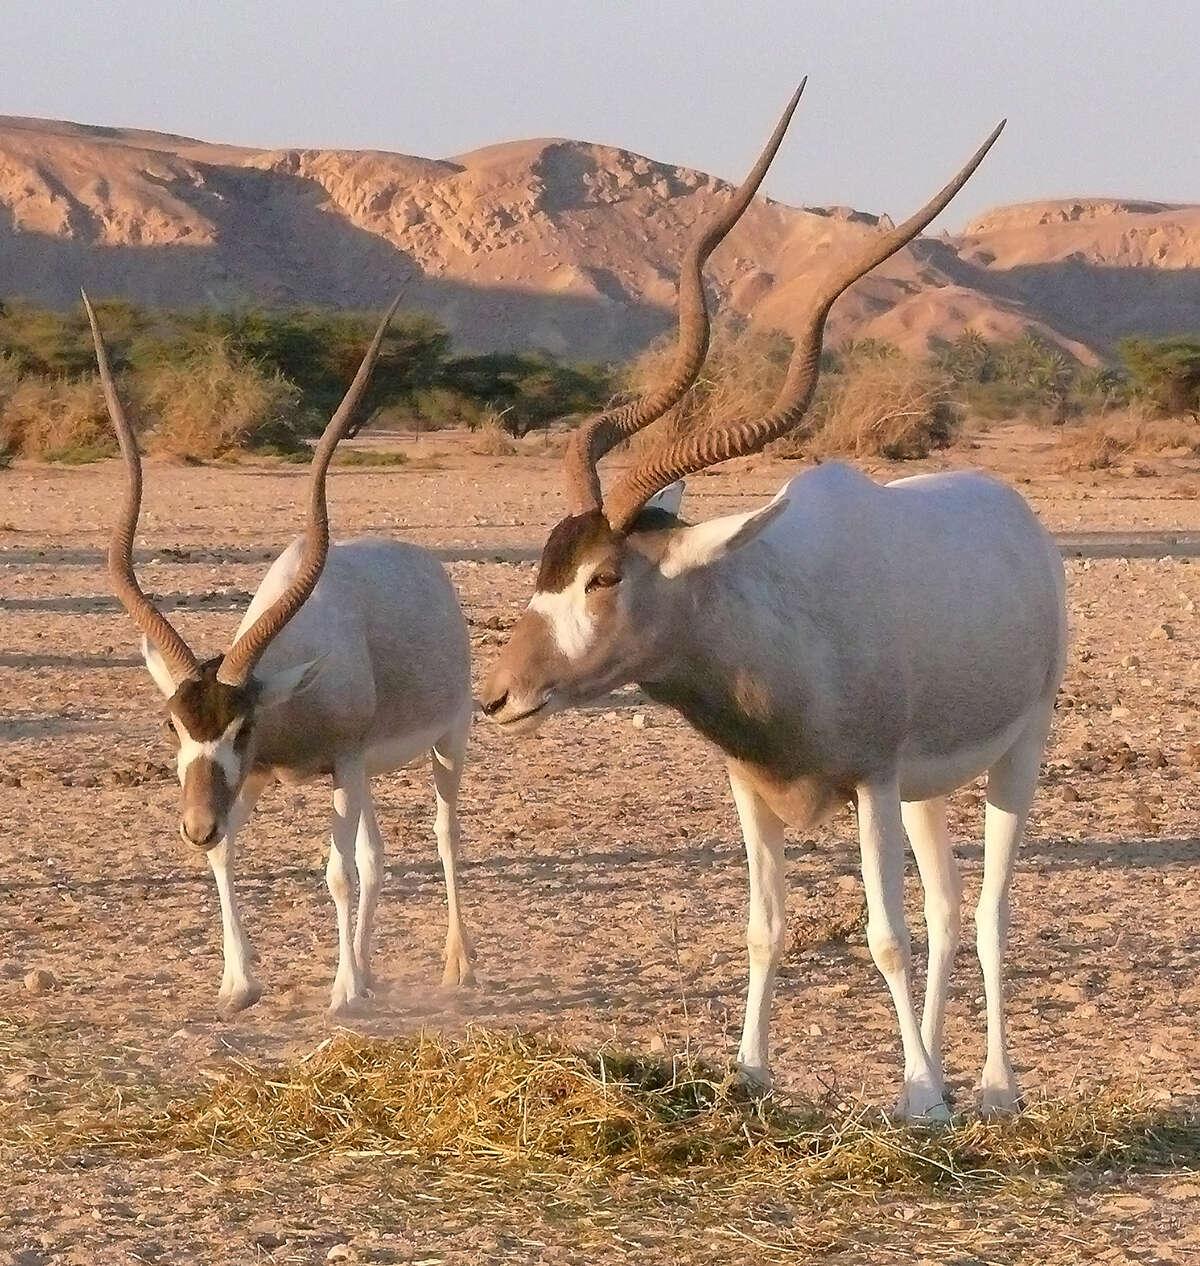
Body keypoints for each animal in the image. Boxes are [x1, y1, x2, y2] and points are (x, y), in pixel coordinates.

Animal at [85, 291, 473, 1012]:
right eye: (173, 725)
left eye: (243, 726)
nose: (194, 825)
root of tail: (426, 565)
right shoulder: (261, 776)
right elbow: (231, 855)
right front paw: (239, 984)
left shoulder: (337, 761)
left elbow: (338, 873)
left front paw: (343, 992)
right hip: (366, 772)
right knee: (377, 856)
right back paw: (370, 967)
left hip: (444, 741)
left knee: (443, 833)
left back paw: (456, 964)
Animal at [483, 89, 1063, 1119]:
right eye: (548, 568)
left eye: (604, 576)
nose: (500, 694)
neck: (774, 618)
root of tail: (1014, 516)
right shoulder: (752, 787)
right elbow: (768, 926)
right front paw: (753, 1072)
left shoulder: (871, 780)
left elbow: (884, 935)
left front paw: (922, 1098)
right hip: (926, 789)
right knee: (950, 905)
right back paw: (945, 1071)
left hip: (1015, 753)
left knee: (991, 910)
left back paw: (990, 1088)